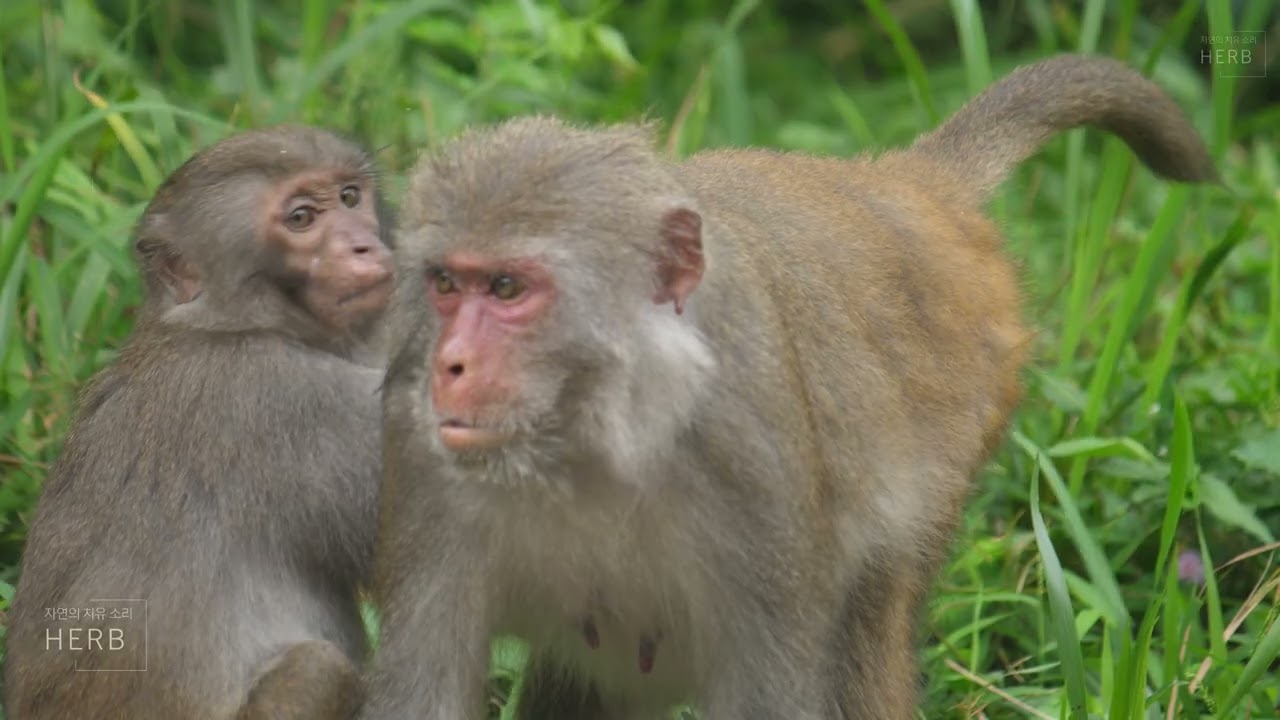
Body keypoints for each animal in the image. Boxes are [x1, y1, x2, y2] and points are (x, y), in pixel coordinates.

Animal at [4, 125, 395, 720]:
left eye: (350, 198)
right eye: (302, 218)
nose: (364, 245)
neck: (220, 325)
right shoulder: (290, 402)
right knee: (318, 670)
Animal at [358, 54, 1218, 720]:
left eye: (507, 288)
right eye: (445, 284)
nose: (449, 364)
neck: (594, 439)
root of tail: (899, 189)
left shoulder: (753, 469)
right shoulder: (421, 465)